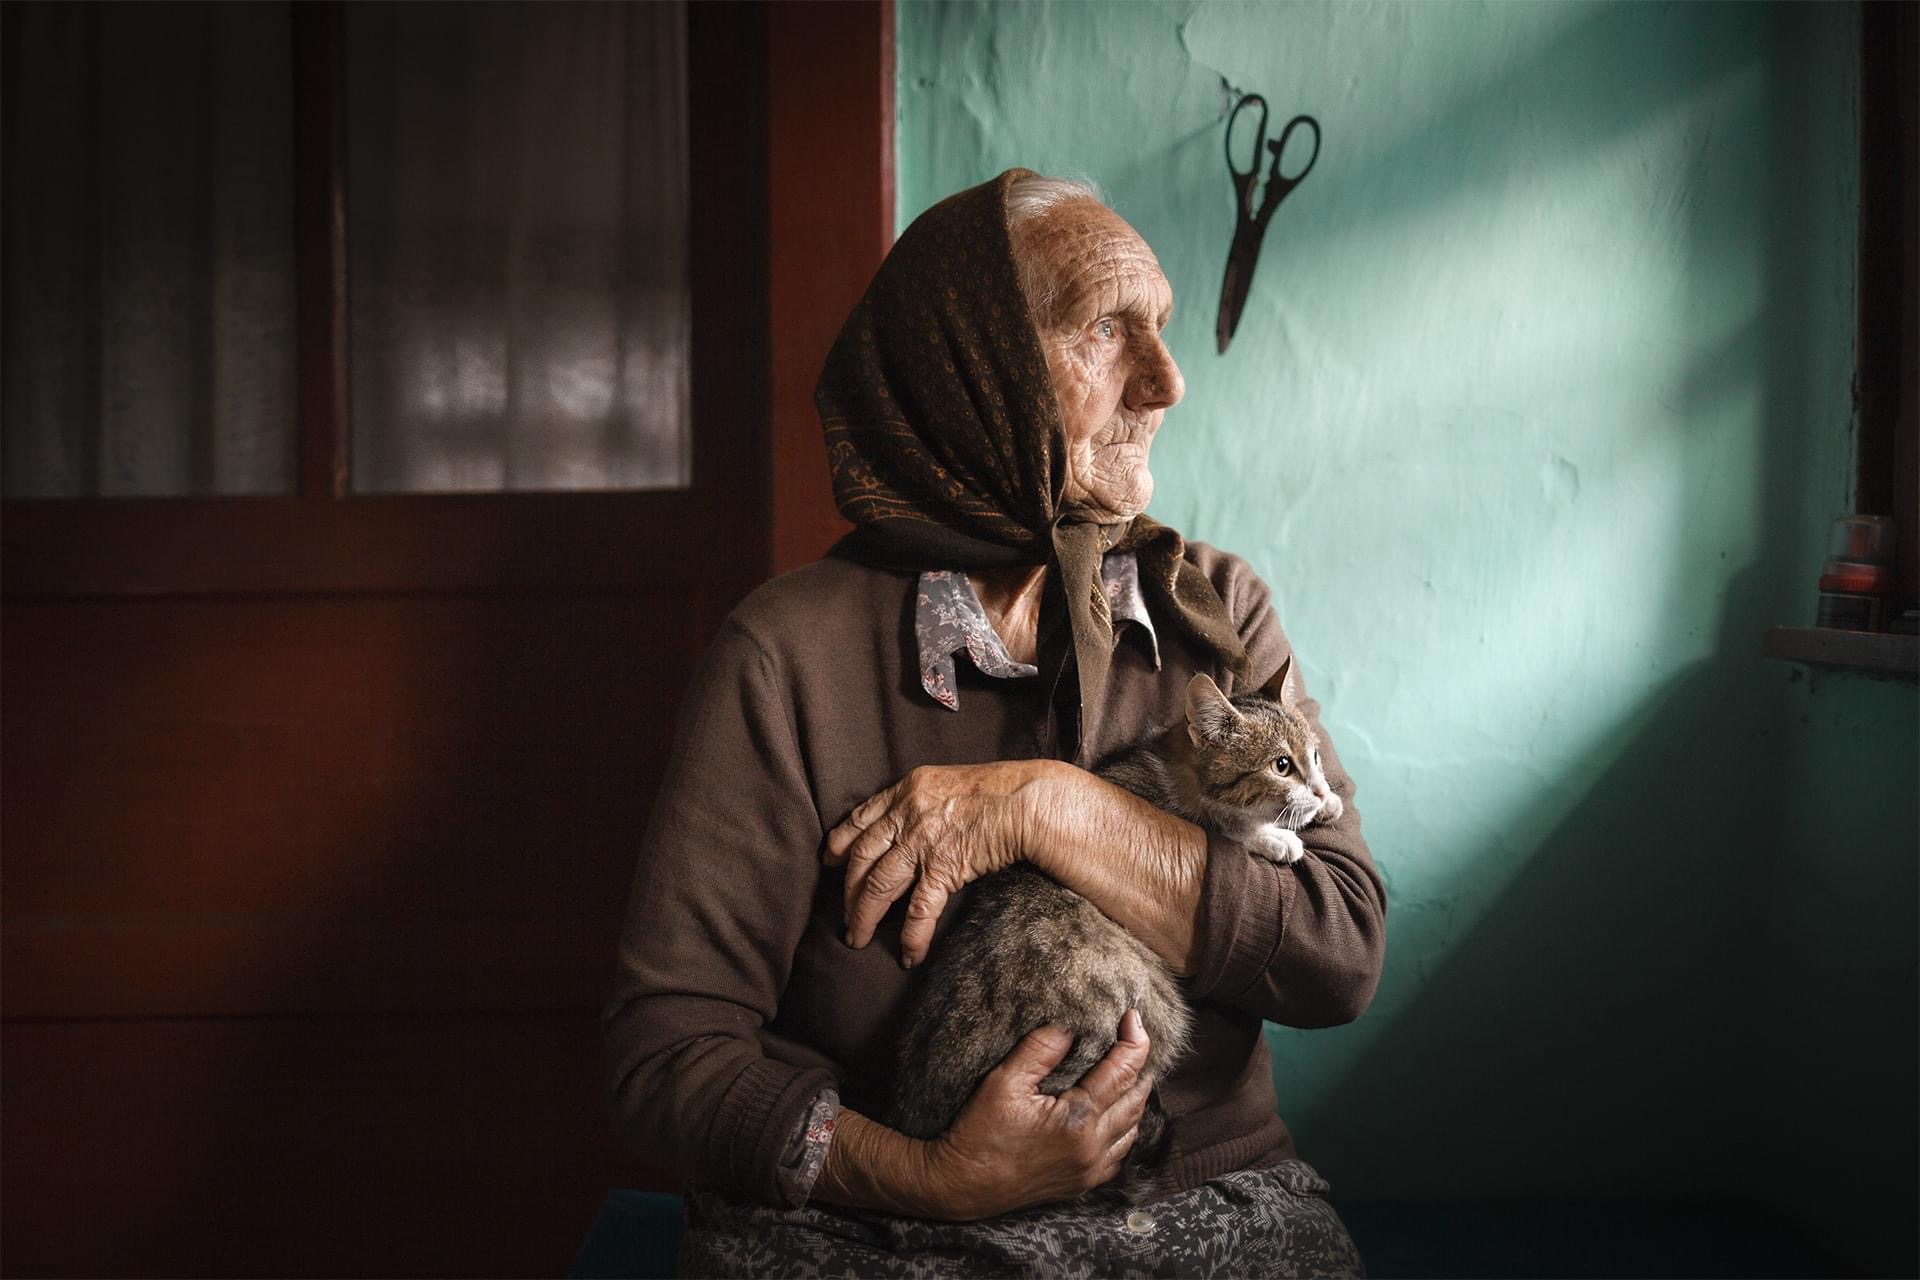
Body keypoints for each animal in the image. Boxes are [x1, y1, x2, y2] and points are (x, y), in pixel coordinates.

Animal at [882, 656, 1343, 1197]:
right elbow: (1227, 827)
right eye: (1281, 766)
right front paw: (1274, 836)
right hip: (1154, 1007)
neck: (1175, 764)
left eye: (1315, 755)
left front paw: (1326, 803)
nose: (1319, 786)